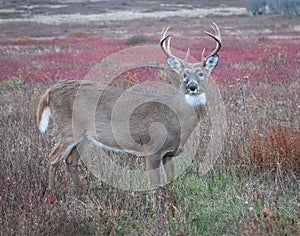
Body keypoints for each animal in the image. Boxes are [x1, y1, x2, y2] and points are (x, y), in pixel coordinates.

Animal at [37, 23, 220, 193]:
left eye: (202, 73)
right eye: (184, 75)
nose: (192, 86)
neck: (177, 119)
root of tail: (50, 90)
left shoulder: (169, 154)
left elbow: (171, 181)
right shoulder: (151, 149)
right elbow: (155, 186)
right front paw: (157, 206)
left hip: (85, 136)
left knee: (71, 160)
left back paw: (82, 192)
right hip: (69, 129)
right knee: (53, 157)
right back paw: (52, 193)